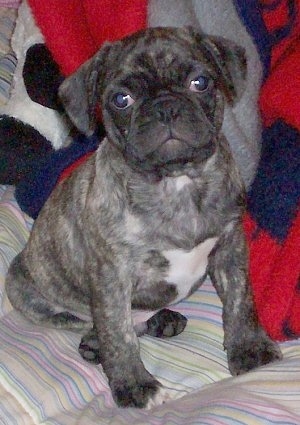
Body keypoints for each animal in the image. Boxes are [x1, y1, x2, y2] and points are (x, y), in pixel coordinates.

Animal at [5, 27, 282, 408]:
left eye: (200, 82)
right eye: (121, 99)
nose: (166, 107)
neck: (176, 182)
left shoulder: (230, 247)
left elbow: (240, 301)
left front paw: (249, 349)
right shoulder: (112, 277)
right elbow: (118, 335)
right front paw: (135, 387)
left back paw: (161, 320)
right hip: (25, 287)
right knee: (93, 324)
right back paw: (99, 344)